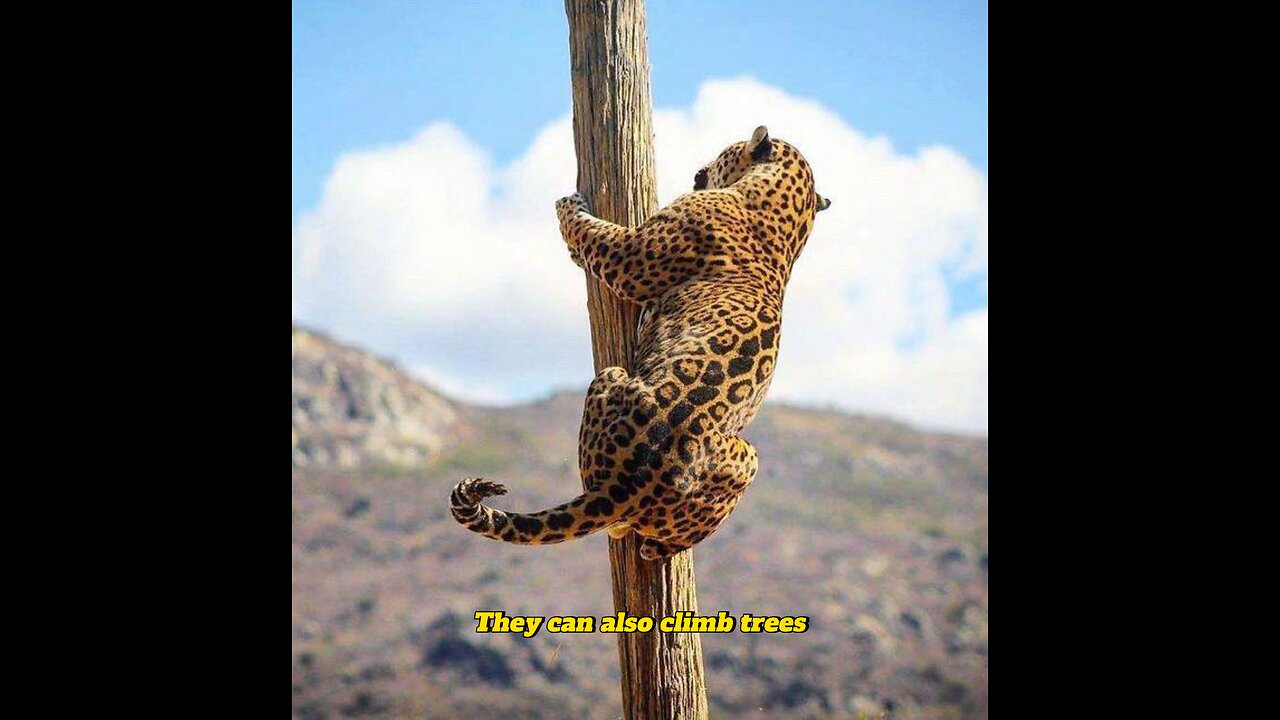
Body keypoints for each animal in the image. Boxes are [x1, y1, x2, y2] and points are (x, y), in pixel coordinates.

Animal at [451, 126, 830, 560]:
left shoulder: (629, 256)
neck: (788, 213)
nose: (700, 168)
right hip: (748, 458)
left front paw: (569, 204)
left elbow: (593, 233)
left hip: (610, 377)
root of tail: (628, 483)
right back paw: (657, 547)